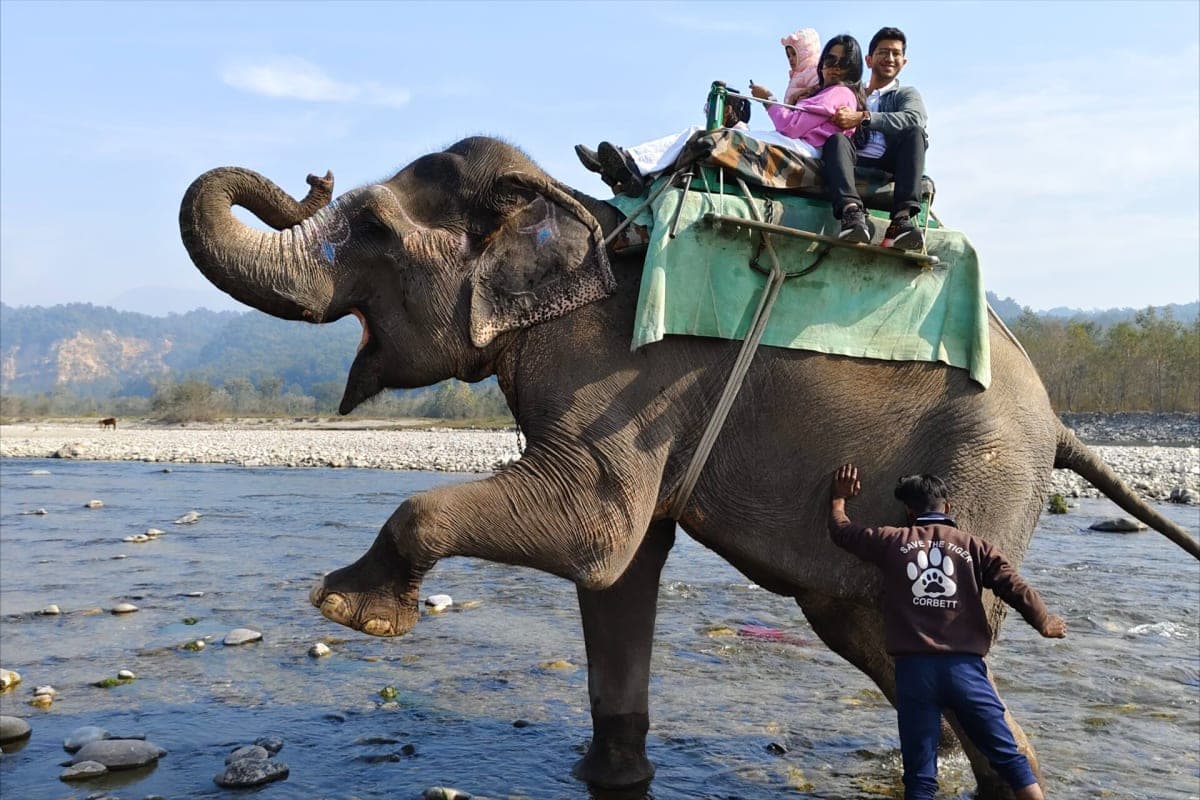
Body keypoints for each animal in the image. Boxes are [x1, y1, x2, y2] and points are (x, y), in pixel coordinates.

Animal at [179, 137, 1198, 797]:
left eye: (376, 234)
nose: (310, 175)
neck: (565, 206)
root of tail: (1059, 423)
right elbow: (621, 567)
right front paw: (607, 776)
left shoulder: (623, 376)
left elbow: (594, 532)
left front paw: (348, 611)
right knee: (859, 625)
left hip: (982, 472)